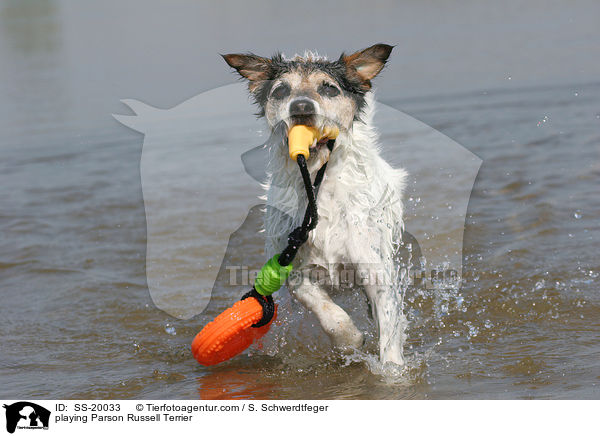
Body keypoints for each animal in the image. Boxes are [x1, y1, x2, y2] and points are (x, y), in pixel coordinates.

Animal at [225, 44, 408, 364]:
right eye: (281, 90)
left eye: (329, 88)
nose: (301, 107)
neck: (318, 186)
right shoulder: (293, 265)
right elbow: (324, 309)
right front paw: (349, 340)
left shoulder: (375, 268)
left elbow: (389, 328)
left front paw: (392, 370)